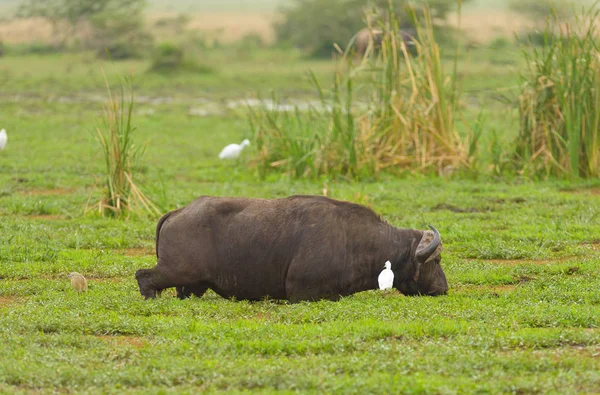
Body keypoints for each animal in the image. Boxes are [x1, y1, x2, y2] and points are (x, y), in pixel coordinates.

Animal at [136, 196, 446, 304]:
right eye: (437, 260)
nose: (444, 288)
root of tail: (179, 211)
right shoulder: (302, 294)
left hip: (193, 285)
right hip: (178, 270)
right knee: (144, 276)